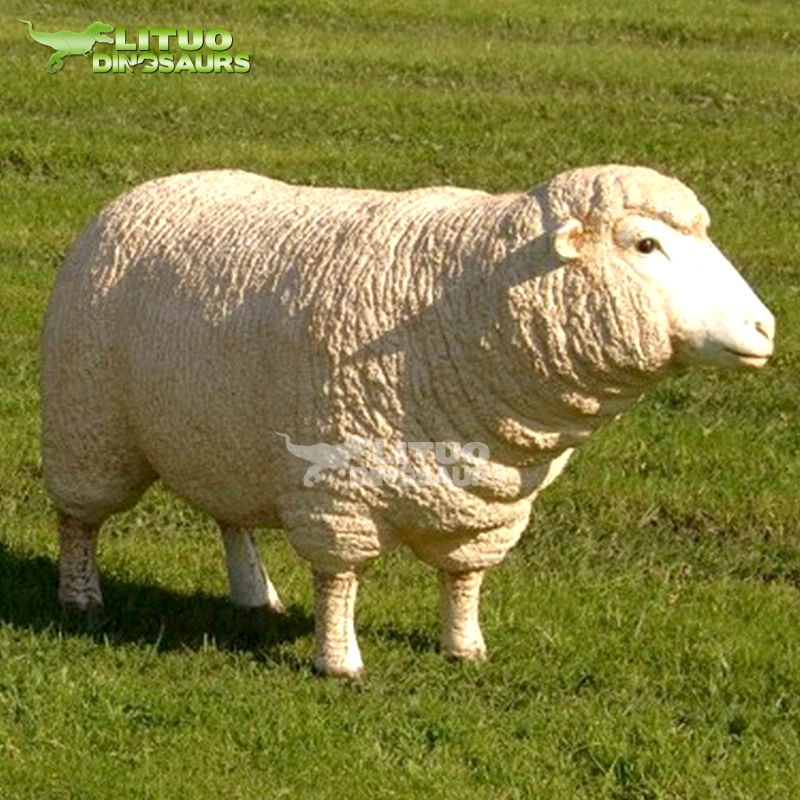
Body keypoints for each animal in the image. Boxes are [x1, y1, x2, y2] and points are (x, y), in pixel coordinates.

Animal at [41, 164, 775, 678]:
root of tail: (146, 190)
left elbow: (465, 579)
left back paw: (254, 595)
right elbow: (340, 579)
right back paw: (80, 596)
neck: (473, 301)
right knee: (79, 520)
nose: (766, 327)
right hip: (87, 421)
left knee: (232, 518)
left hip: (226, 435)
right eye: (646, 244)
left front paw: (466, 647)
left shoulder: (486, 502)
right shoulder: (339, 489)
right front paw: (338, 662)